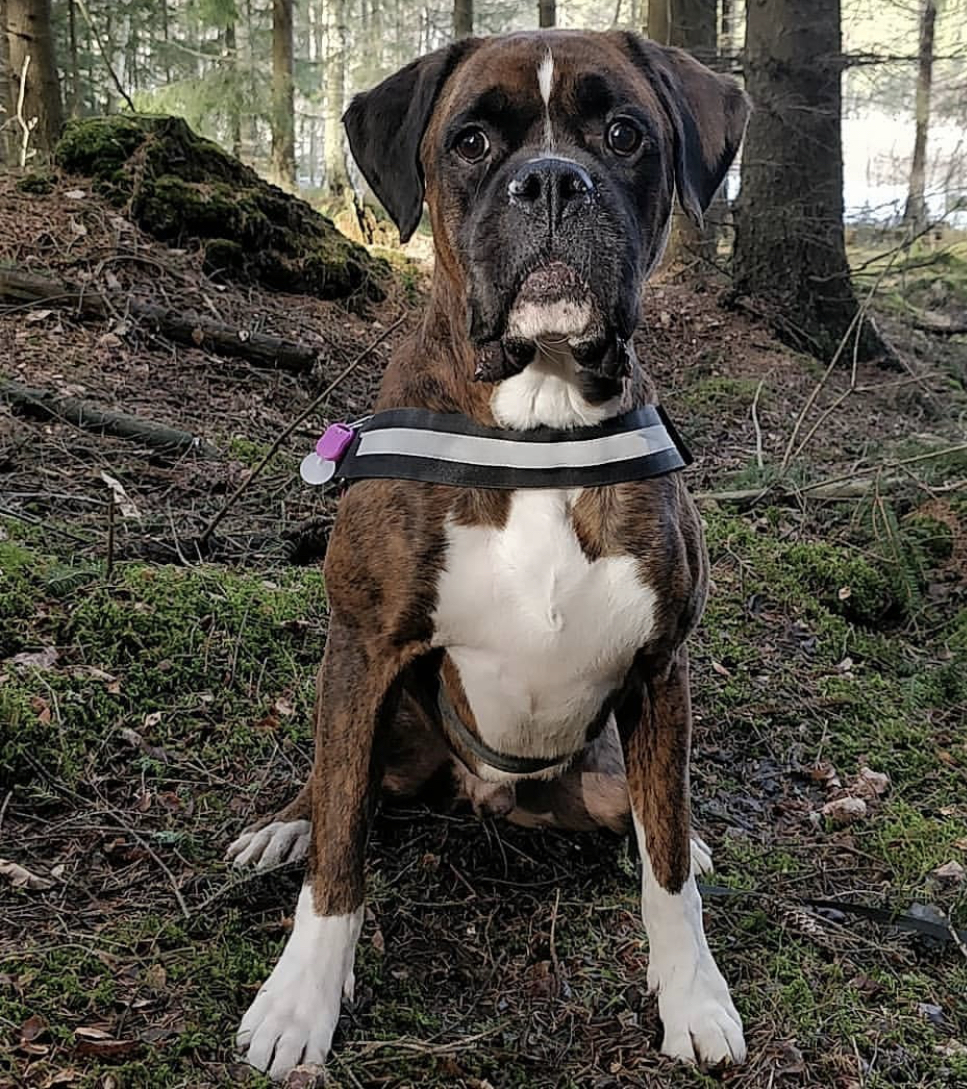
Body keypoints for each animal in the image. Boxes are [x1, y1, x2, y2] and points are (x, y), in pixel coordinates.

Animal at [226, 27, 749, 1080]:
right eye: (470, 142)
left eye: (624, 134)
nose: (550, 180)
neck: (537, 418)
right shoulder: (362, 648)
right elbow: (340, 855)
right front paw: (300, 1001)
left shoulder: (659, 671)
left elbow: (667, 869)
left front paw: (694, 994)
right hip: (384, 721)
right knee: (335, 791)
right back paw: (282, 826)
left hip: (599, 772)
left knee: (645, 817)